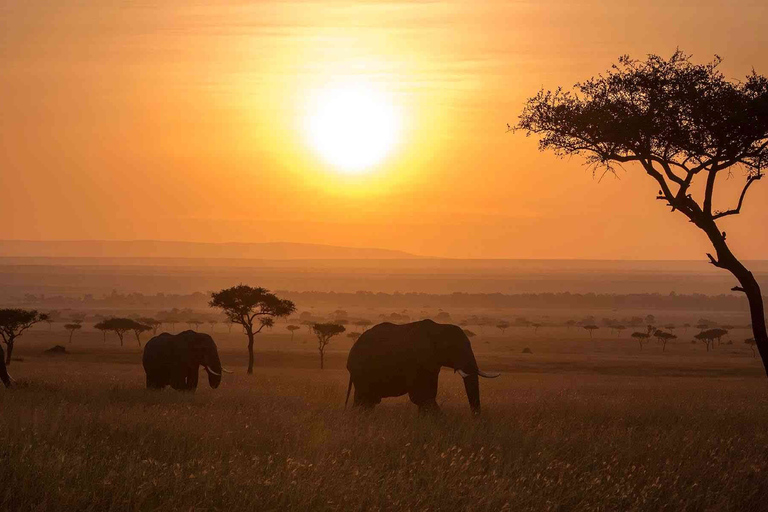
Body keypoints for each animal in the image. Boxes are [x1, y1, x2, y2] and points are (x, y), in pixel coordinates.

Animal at [346, 322, 500, 414]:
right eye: (455, 349)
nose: (476, 421)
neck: (439, 328)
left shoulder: (431, 364)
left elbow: (426, 395)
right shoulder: (419, 360)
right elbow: (422, 396)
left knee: (367, 401)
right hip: (362, 370)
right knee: (365, 400)